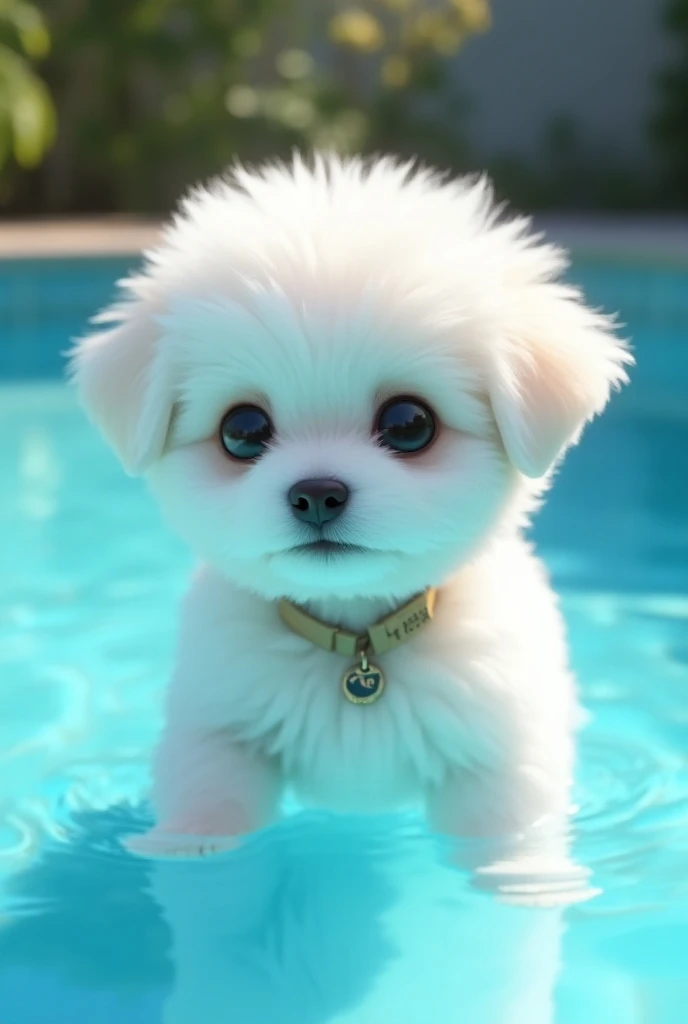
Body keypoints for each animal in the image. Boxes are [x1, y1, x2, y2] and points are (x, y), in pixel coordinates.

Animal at [71, 155, 630, 868]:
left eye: (409, 423)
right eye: (242, 431)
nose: (317, 494)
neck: (357, 645)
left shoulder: (496, 754)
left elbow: (506, 853)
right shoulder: (219, 733)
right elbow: (209, 823)